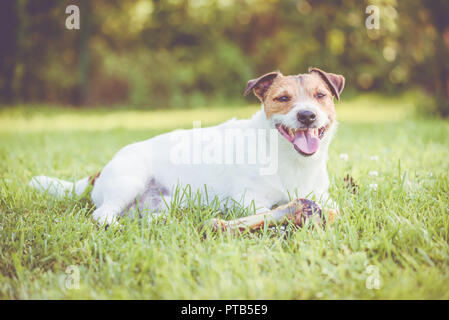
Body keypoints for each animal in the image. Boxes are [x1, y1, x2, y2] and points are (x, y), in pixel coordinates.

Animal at [29, 67, 344, 225]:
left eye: (320, 95)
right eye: (282, 98)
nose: (307, 115)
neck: (289, 159)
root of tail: (100, 173)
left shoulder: (322, 195)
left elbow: (333, 206)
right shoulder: (249, 200)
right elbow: (269, 211)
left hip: (161, 202)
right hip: (128, 182)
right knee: (102, 214)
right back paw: (114, 224)